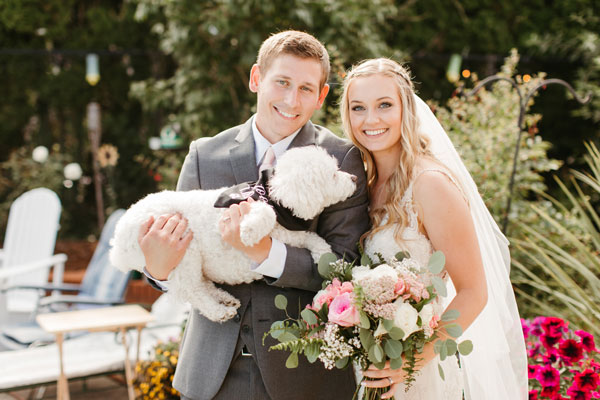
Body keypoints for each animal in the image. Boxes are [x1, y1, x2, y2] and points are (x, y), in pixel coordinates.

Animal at [109, 146, 356, 322]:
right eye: (333, 175)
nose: (354, 178)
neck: (275, 198)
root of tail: (118, 242)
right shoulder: (240, 211)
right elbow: (266, 212)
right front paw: (250, 230)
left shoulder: (293, 234)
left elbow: (312, 238)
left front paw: (325, 256)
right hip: (182, 252)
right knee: (191, 289)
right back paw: (218, 311)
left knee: (199, 284)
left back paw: (224, 299)